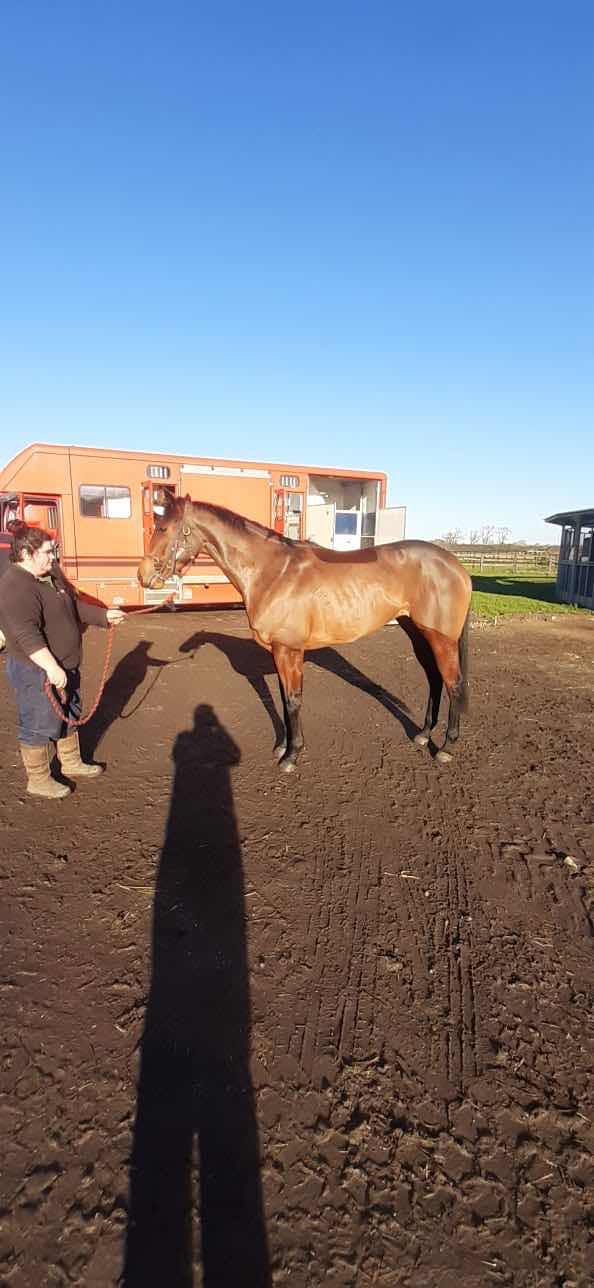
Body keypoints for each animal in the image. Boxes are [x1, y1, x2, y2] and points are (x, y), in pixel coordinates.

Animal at [138, 496, 472, 773]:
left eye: (164, 528)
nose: (143, 575)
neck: (272, 572)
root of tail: (456, 566)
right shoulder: (278, 653)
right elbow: (284, 699)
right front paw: (282, 748)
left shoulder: (289, 650)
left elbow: (293, 701)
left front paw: (292, 756)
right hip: (417, 632)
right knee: (434, 679)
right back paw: (423, 734)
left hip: (441, 638)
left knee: (453, 684)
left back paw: (446, 747)